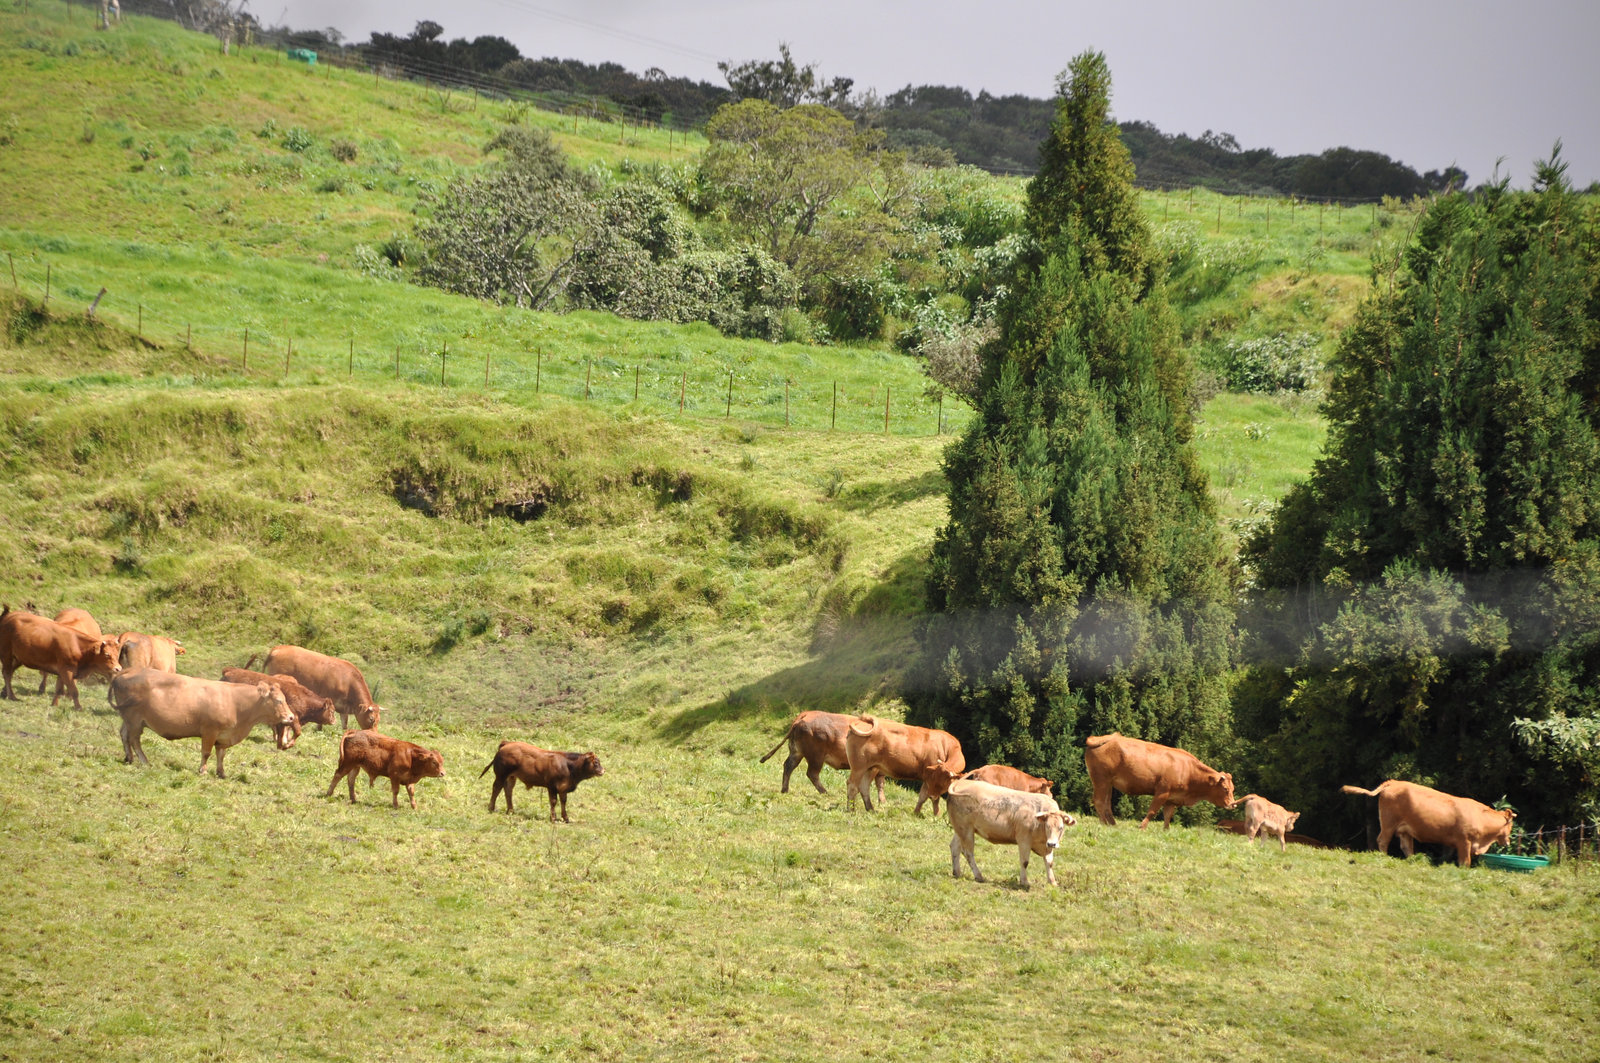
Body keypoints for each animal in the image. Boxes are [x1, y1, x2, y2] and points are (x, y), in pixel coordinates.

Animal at [111, 669, 296, 778]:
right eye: (279, 701)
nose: (291, 717)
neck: (236, 703)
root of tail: (129, 670)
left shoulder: (223, 736)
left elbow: (221, 755)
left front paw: (221, 773)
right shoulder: (209, 731)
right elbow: (206, 752)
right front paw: (203, 770)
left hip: (130, 720)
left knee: (124, 735)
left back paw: (129, 758)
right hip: (135, 721)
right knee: (134, 739)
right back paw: (144, 761)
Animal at [755, 710, 883, 800]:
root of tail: (804, 715)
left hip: (797, 752)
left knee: (788, 766)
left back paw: (785, 790)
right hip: (816, 757)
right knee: (812, 773)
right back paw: (825, 792)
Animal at [1088, 730, 1235, 832]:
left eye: (1233, 789)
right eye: (1225, 789)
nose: (1232, 804)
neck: (1189, 770)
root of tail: (1106, 738)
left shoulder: (1172, 799)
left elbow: (1167, 816)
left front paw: (1166, 831)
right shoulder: (1162, 792)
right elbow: (1152, 811)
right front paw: (1142, 827)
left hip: (1108, 784)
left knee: (1106, 803)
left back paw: (1112, 824)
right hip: (1101, 780)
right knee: (1099, 801)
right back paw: (1103, 823)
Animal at [1337, 778, 1510, 870]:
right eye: (1510, 826)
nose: (1508, 842)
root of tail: (1394, 782)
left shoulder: (1452, 842)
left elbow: (1447, 856)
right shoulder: (1464, 841)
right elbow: (1465, 861)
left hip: (1404, 830)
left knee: (1406, 846)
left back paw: (1413, 860)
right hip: (1388, 824)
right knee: (1382, 840)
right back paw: (1384, 857)